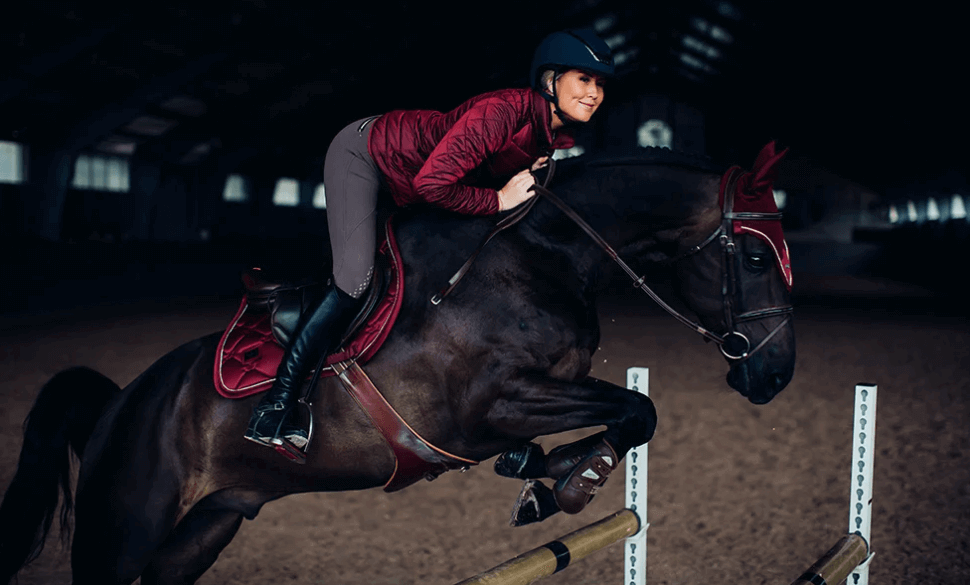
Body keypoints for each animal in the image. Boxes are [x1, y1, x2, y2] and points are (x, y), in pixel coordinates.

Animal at [0, 144, 796, 585]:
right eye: (757, 258)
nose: (777, 375)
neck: (543, 255)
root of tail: (118, 406)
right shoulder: (490, 404)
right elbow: (637, 408)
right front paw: (567, 486)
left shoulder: (538, 396)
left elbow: (622, 417)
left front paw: (545, 477)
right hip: (122, 534)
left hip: (199, 533)